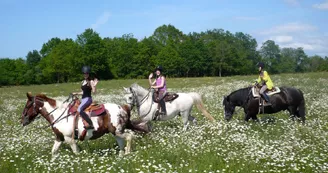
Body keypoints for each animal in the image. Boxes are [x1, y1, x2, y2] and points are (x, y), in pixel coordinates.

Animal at [20, 92, 149, 160]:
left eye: (27, 106)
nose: (22, 121)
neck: (58, 115)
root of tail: (123, 107)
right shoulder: (59, 138)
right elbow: (54, 152)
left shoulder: (69, 139)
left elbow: (76, 153)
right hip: (115, 132)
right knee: (121, 143)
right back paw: (120, 157)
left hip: (118, 131)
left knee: (129, 137)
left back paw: (127, 154)